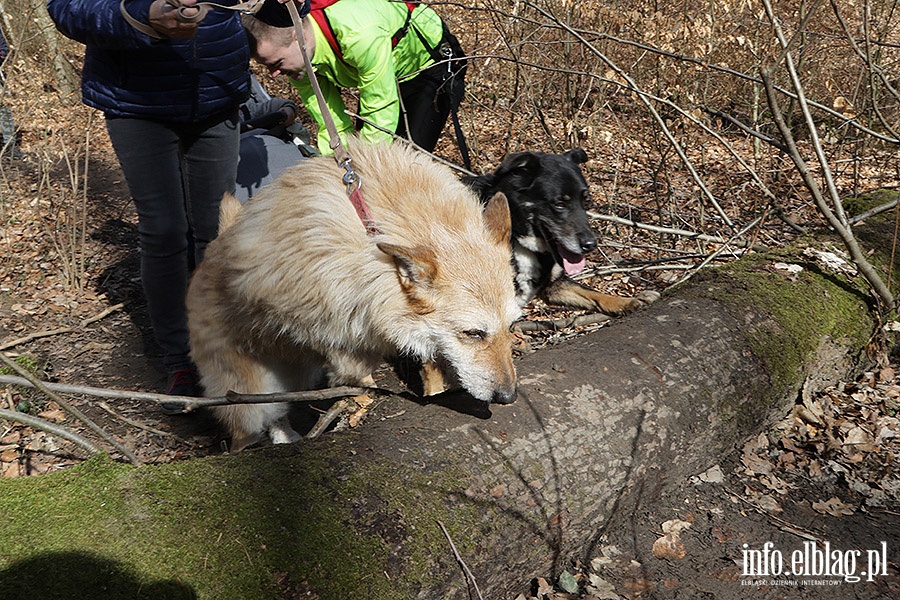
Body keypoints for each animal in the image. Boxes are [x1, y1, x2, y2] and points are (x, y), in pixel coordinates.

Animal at [186, 142, 520, 450]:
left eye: (512, 326)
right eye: (474, 333)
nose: (508, 396)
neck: (372, 231)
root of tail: (214, 247)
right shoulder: (297, 309)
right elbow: (339, 345)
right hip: (249, 397)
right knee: (252, 425)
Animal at [468, 149, 656, 314]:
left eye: (586, 201)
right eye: (559, 204)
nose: (590, 245)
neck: (518, 237)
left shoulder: (555, 286)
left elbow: (593, 294)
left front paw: (628, 301)